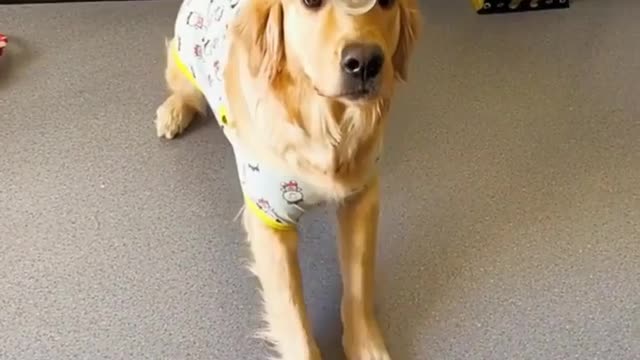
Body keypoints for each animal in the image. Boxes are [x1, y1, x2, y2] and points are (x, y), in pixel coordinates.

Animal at [156, 0, 420, 358]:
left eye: (387, 3)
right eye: (310, 3)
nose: (364, 62)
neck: (325, 125)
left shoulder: (361, 197)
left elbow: (359, 281)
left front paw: (365, 345)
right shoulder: (269, 221)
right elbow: (293, 315)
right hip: (183, 58)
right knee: (185, 92)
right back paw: (172, 113)